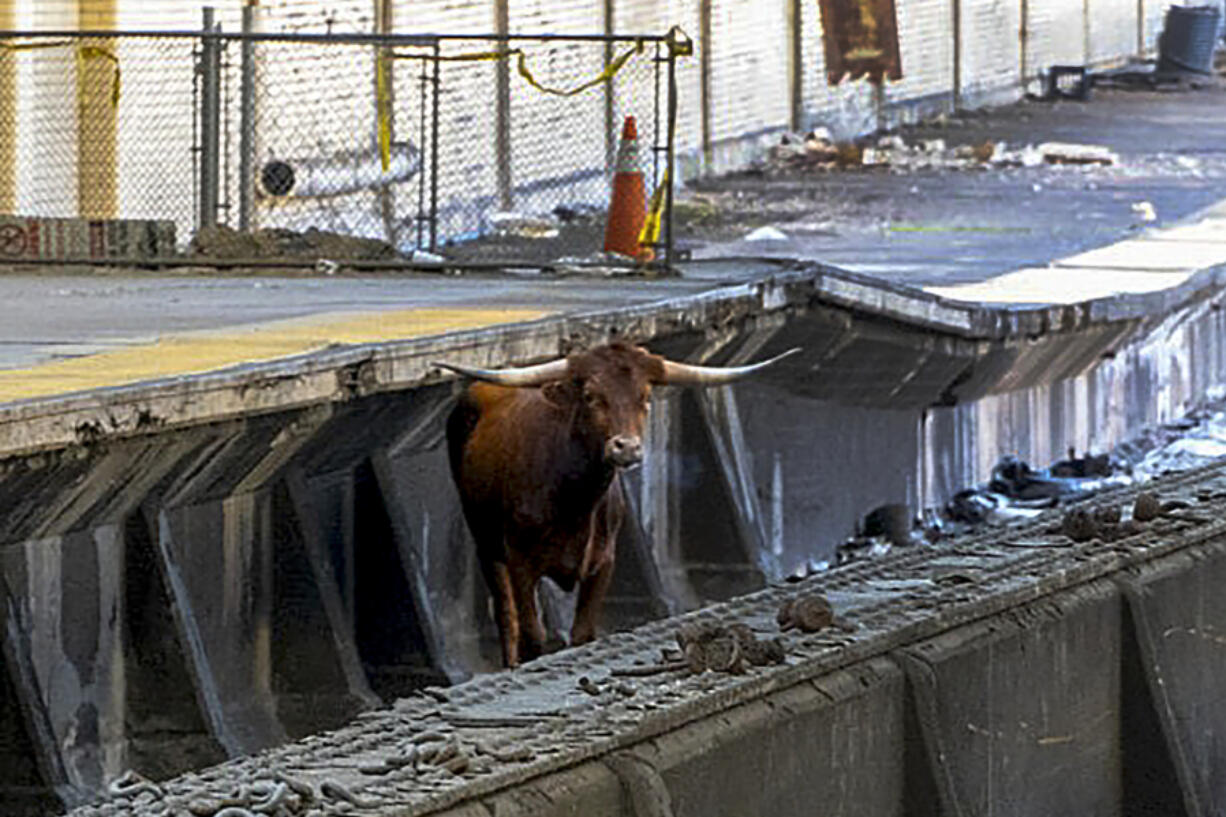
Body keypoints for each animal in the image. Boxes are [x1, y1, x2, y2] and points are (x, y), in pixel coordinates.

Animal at [436, 341, 799, 667]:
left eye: (646, 397)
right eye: (591, 396)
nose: (626, 447)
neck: (572, 500)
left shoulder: (603, 562)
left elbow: (582, 634)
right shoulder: (520, 561)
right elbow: (531, 636)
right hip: (486, 543)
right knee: (506, 616)